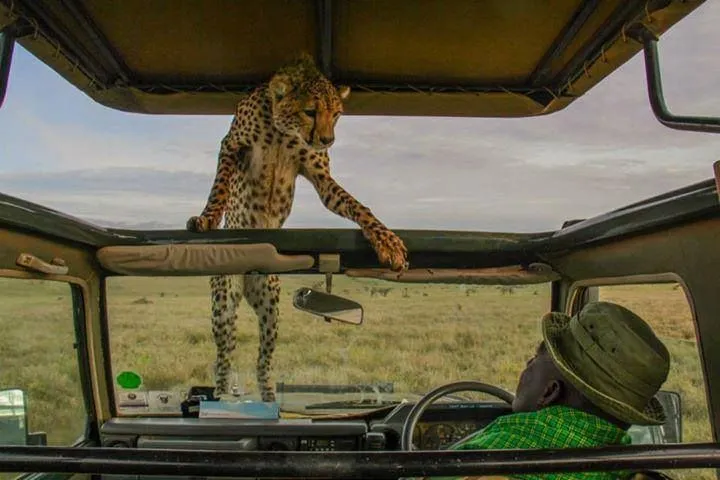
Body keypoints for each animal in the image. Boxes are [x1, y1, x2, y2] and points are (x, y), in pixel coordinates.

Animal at [186, 53, 408, 402]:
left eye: (337, 114)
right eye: (310, 111)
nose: (328, 139)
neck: (280, 129)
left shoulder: (321, 177)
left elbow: (356, 206)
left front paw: (387, 241)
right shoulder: (231, 145)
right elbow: (220, 187)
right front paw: (207, 217)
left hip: (270, 307)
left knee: (263, 358)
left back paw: (268, 397)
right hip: (223, 304)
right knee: (224, 355)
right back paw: (221, 394)